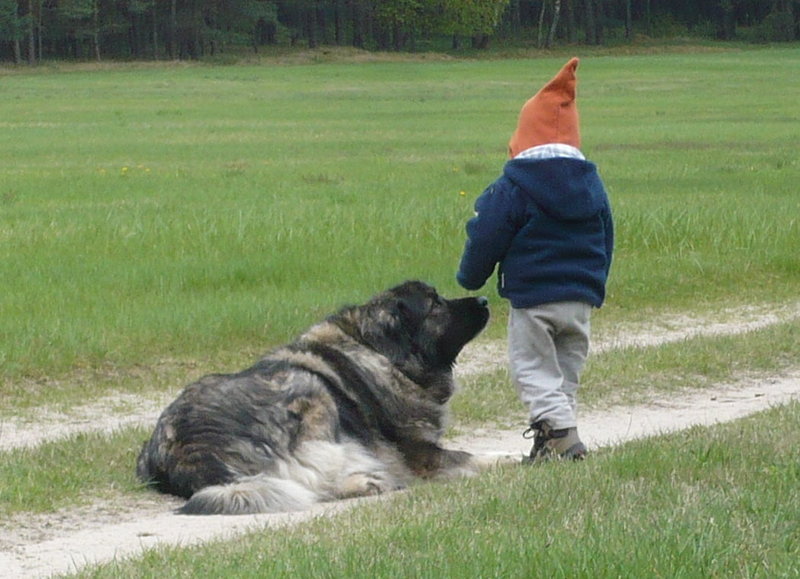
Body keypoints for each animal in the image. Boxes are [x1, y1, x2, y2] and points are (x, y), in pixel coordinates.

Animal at [136, 280, 499, 515]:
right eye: (435, 303)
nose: (484, 300)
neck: (377, 350)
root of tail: (184, 448)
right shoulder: (423, 455)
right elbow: (476, 457)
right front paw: (505, 460)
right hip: (310, 394)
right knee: (315, 480)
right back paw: (366, 480)